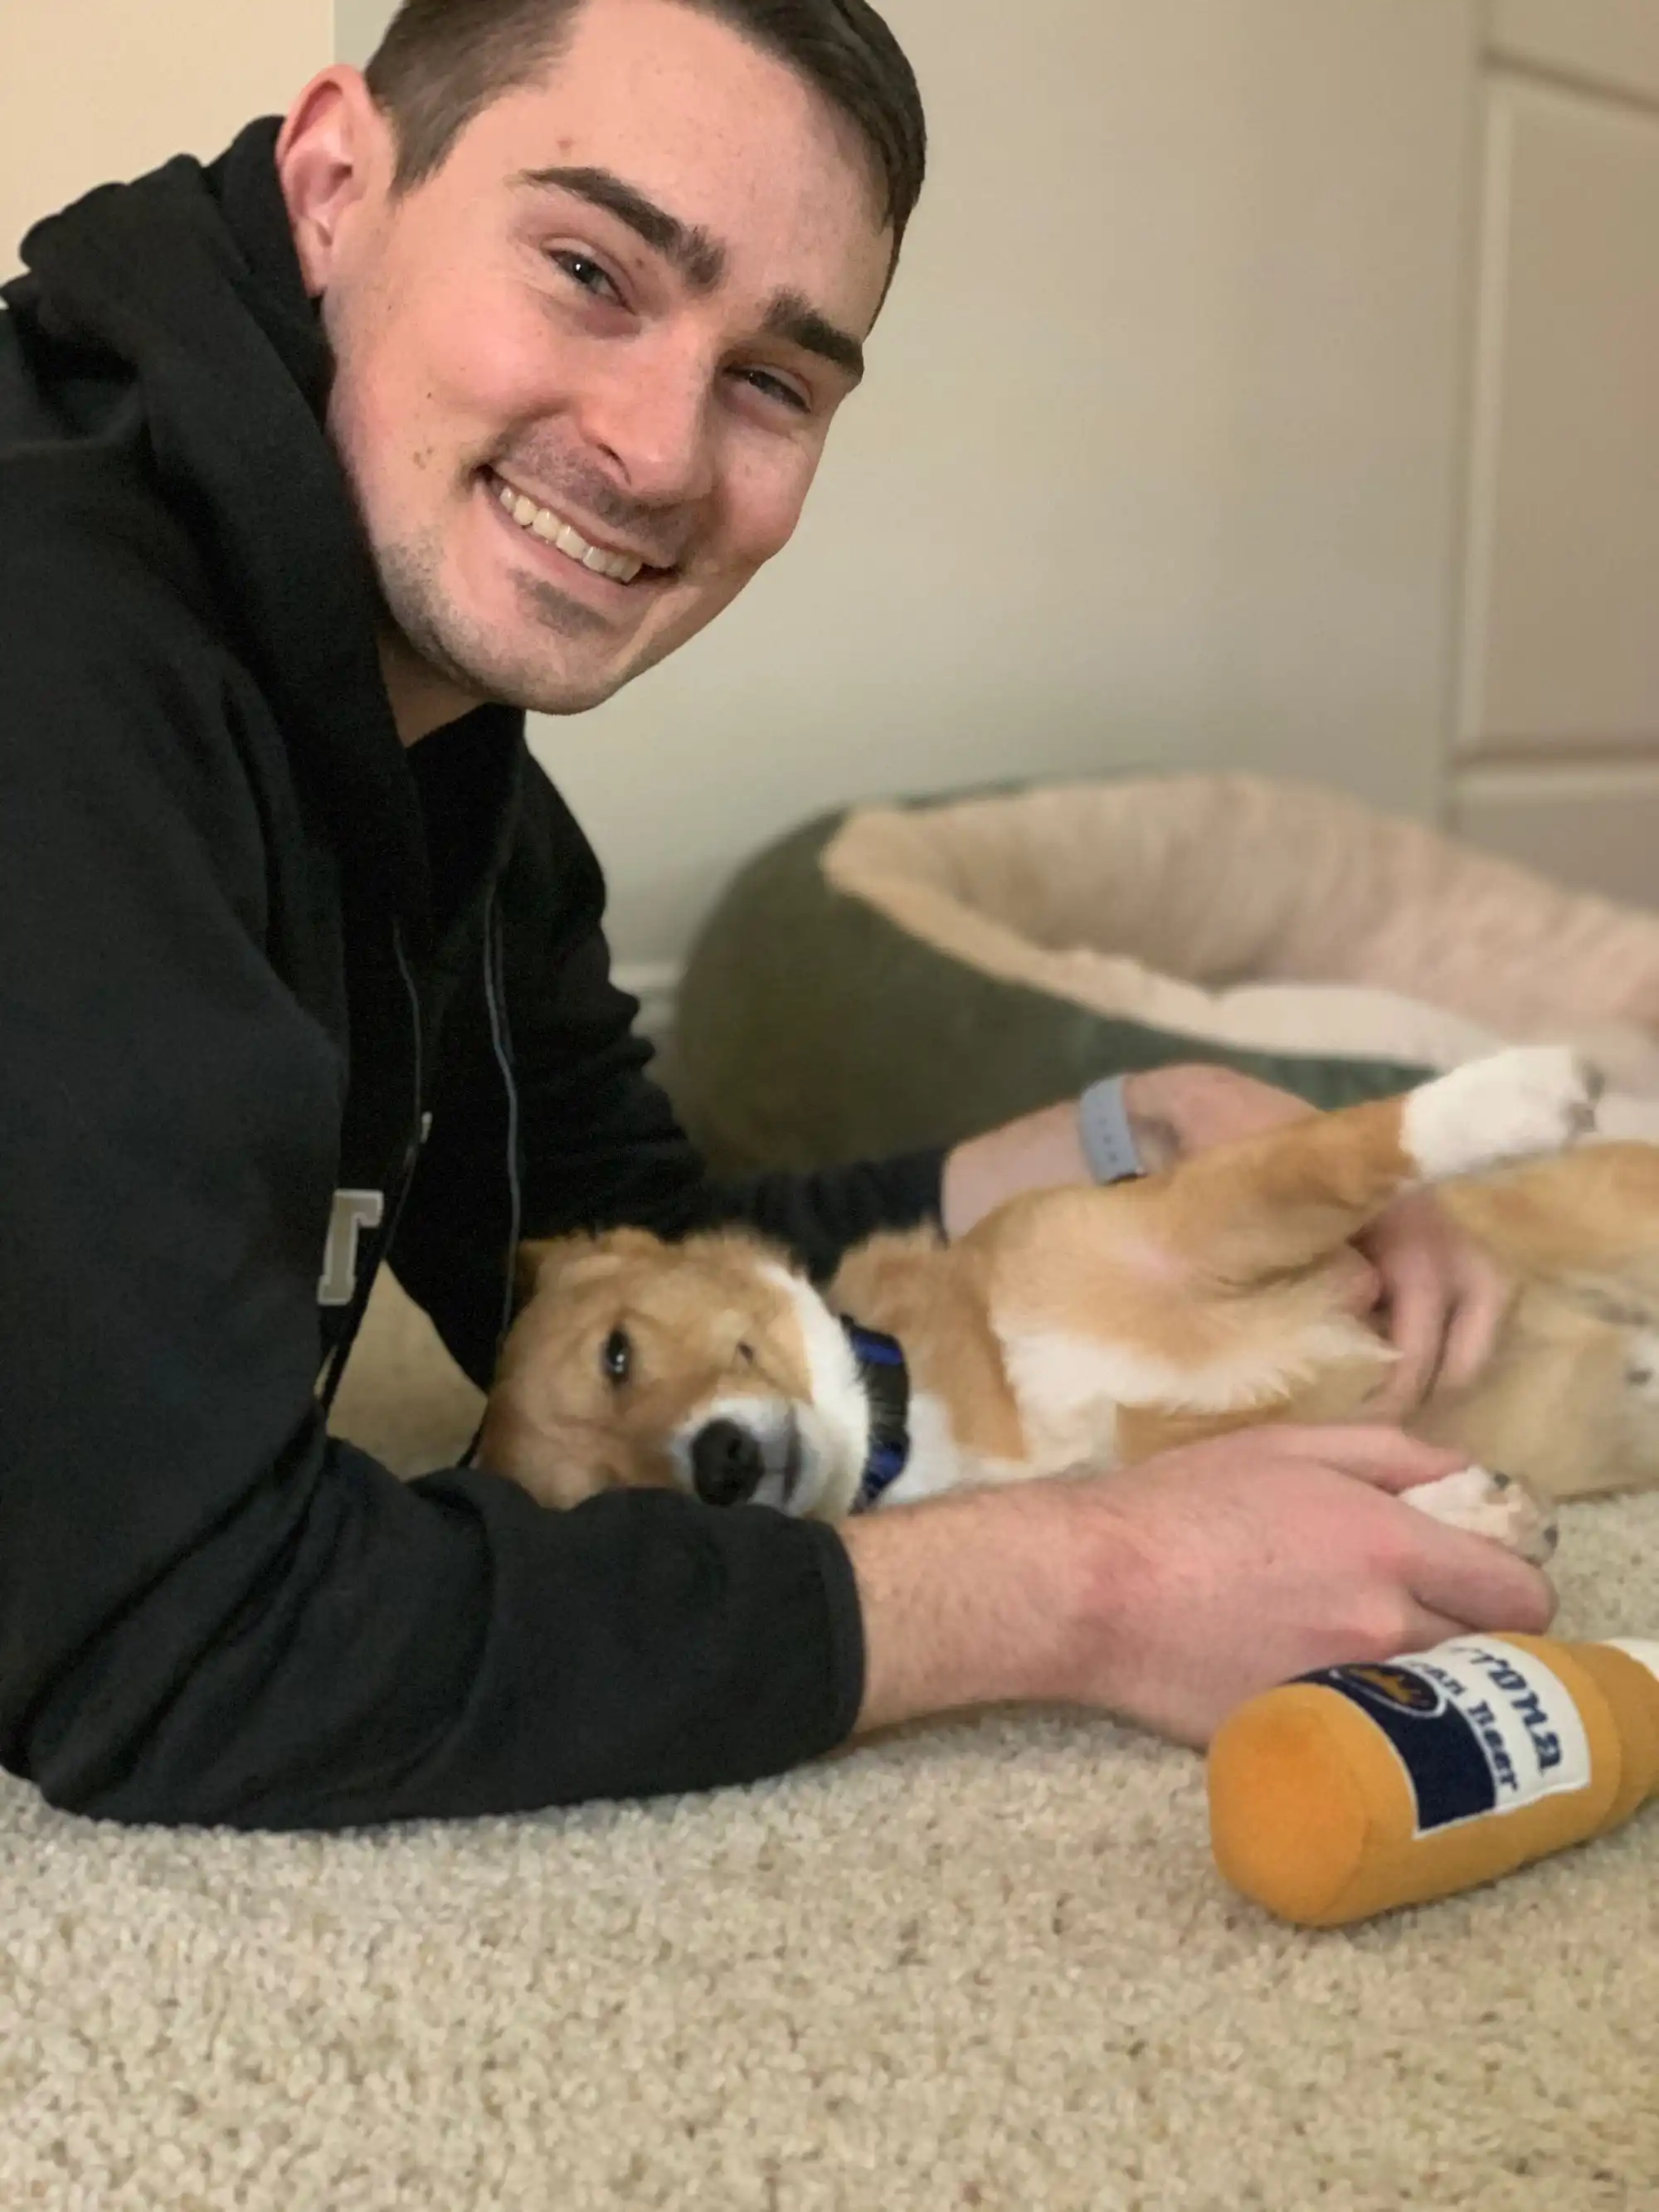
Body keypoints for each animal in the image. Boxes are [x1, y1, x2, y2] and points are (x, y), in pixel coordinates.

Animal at [479, 1048, 1659, 1557]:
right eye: (617, 1503)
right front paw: (1474, 1513)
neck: (920, 1413)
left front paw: (1506, 1094)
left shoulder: (1196, 1220)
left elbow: (1344, 1148)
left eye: (618, 1353)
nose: (718, 1468)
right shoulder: (1193, 1472)